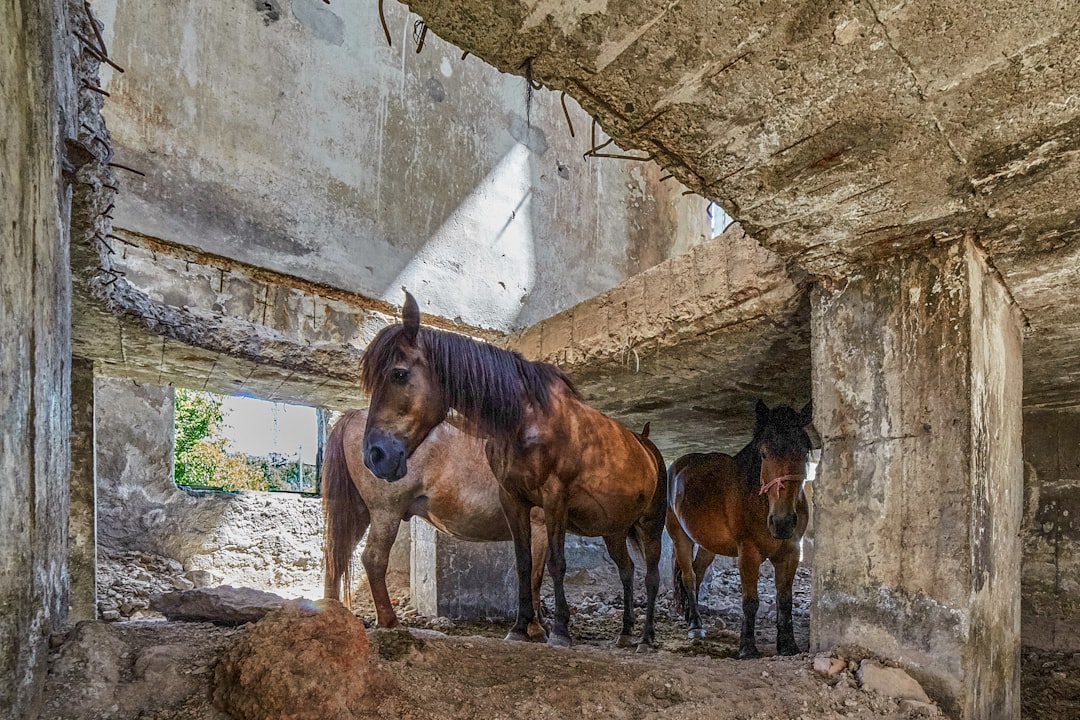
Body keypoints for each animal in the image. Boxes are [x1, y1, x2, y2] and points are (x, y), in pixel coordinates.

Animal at [315, 408, 544, 639]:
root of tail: (353, 415)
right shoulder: (537, 526)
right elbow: (534, 576)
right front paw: (534, 628)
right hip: (386, 512)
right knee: (373, 559)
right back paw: (390, 621)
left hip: (357, 513)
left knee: (336, 558)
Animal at [362, 293, 665, 651]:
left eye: (398, 374)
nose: (375, 455)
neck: (526, 421)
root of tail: (646, 444)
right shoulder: (513, 499)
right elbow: (523, 565)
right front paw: (521, 628)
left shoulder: (555, 499)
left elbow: (555, 564)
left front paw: (560, 631)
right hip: (614, 530)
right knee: (627, 571)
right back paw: (626, 632)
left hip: (650, 524)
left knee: (651, 576)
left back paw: (646, 638)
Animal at [665, 399, 812, 660]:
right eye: (764, 453)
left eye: (804, 452)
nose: (782, 522)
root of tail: (678, 466)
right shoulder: (748, 553)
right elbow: (750, 601)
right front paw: (747, 648)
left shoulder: (791, 553)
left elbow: (785, 599)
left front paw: (788, 646)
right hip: (680, 537)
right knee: (689, 577)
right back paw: (695, 625)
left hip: (708, 544)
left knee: (698, 572)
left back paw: (692, 617)